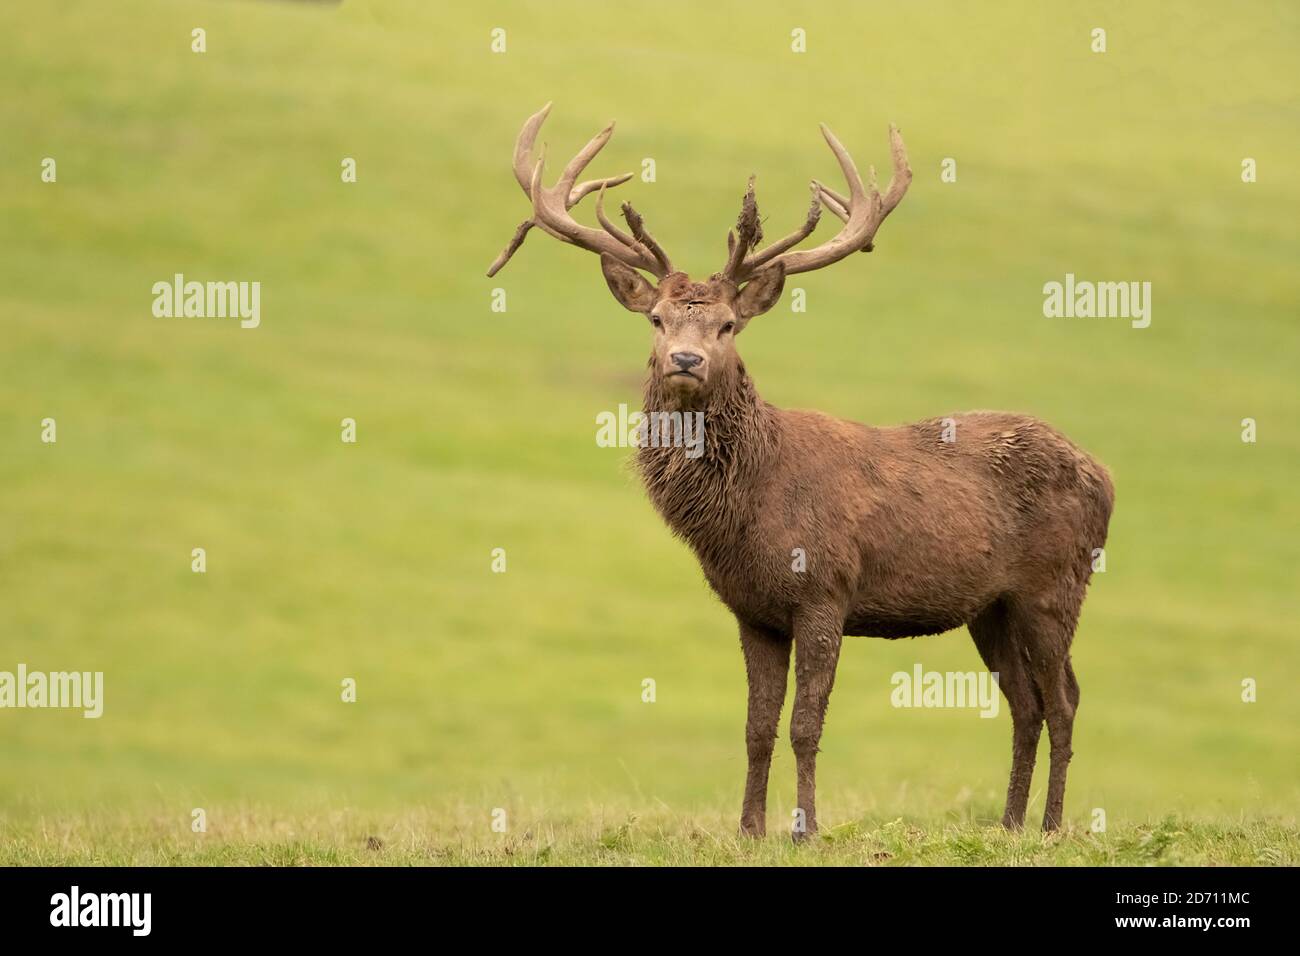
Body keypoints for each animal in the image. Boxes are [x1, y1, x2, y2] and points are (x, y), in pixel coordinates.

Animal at [488, 104, 1115, 839]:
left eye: (728, 324)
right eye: (657, 318)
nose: (685, 360)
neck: (747, 506)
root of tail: (1105, 476)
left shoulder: (825, 588)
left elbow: (805, 725)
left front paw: (805, 827)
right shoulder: (751, 609)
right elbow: (757, 727)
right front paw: (748, 828)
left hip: (1056, 584)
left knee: (1065, 697)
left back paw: (1049, 825)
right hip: (992, 605)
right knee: (1025, 701)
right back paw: (1010, 823)